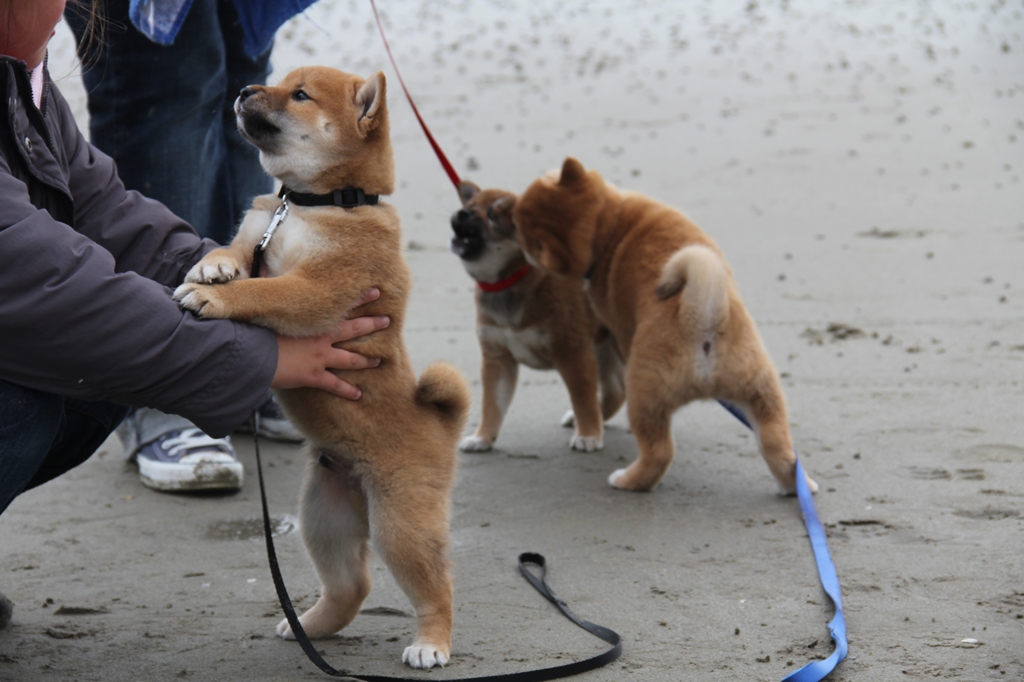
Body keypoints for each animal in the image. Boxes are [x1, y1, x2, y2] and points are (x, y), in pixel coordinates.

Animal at [172, 66, 468, 667]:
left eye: (300, 95)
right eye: (278, 82)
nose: (243, 90)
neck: (314, 204)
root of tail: (442, 424)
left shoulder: (318, 287)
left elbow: (263, 291)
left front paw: (214, 298)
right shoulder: (258, 227)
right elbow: (235, 251)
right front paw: (212, 267)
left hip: (400, 523)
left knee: (437, 587)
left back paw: (431, 643)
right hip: (324, 518)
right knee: (352, 586)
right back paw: (310, 625)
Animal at [452, 183, 626, 454]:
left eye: (490, 214)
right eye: (470, 207)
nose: (461, 214)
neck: (509, 280)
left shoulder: (572, 352)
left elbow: (583, 398)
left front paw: (588, 434)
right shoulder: (497, 357)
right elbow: (492, 405)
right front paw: (482, 437)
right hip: (602, 350)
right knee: (617, 390)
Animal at [516, 156, 819, 491]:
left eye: (520, 229)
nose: (509, 217)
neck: (607, 225)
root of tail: (701, 318)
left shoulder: (619, 330)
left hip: (646, 397)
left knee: (659, 452)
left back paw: (627, 480)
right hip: (761, 395)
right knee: (780, 449)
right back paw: (799, 486)